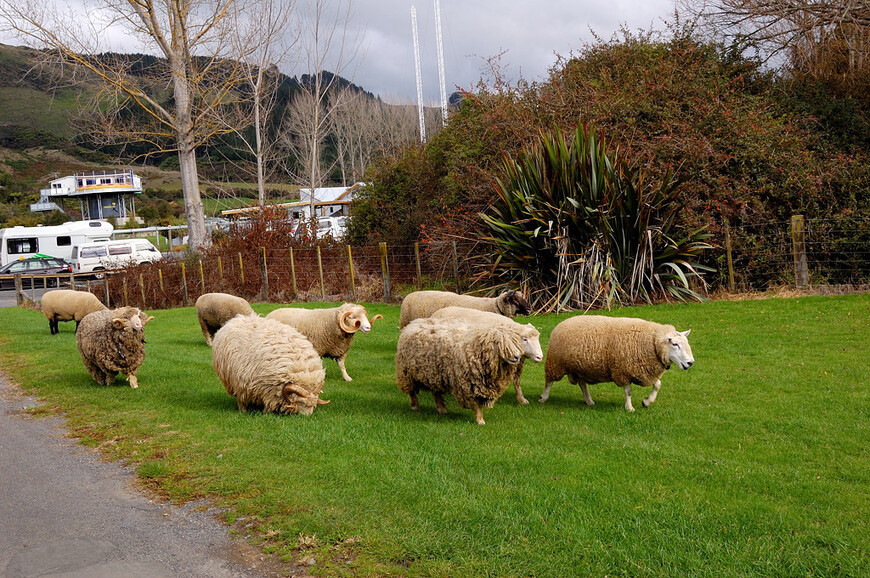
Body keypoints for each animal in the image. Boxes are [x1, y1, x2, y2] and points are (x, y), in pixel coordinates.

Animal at [396, 316, 532, 424]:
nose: (517, 357)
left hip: (434, 373)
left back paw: (441, 409)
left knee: (436, 392)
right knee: (412, 392)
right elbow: (476, 404)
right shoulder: (468, 384)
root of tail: (413, 322)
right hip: (406, 372)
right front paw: (480, 420)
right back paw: (415, 406)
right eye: (501, 344)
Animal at [540, 316, 700, 410]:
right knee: (549, 381)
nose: (690, 362)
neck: (651, 343)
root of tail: (561, 323)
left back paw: (589, 401)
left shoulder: (646, 371)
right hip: (555, 363)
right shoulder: (623, 371)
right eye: (675, 344)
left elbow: (658, 385)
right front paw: (629, 407)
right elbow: (628, 391)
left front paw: (647, 402)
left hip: (581, 367)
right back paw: (543, 397)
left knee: (582, 384)